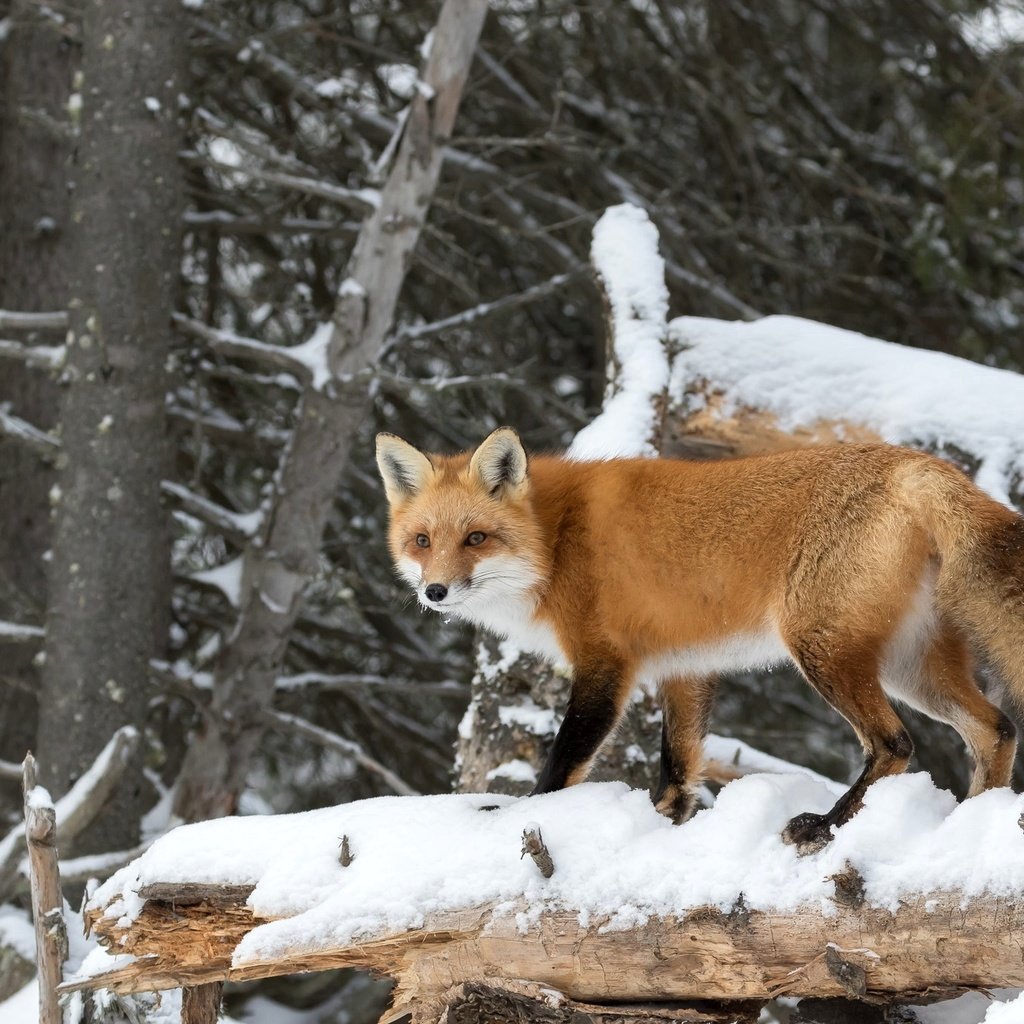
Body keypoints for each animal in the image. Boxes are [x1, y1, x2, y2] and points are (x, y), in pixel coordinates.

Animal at [378, 428, 1024, 851]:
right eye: (422, 541)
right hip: (908, 666)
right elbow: (677, 771)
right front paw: (666, 828)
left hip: (823, 650)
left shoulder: (605, 663)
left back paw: (824, 825)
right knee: (996, 729)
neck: (558, 540)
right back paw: (972, 823)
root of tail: (917, 464)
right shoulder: (682, 668)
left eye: (476, 538)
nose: (435, 591)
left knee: (894, 744)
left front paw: (523, 816)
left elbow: (562, 762)